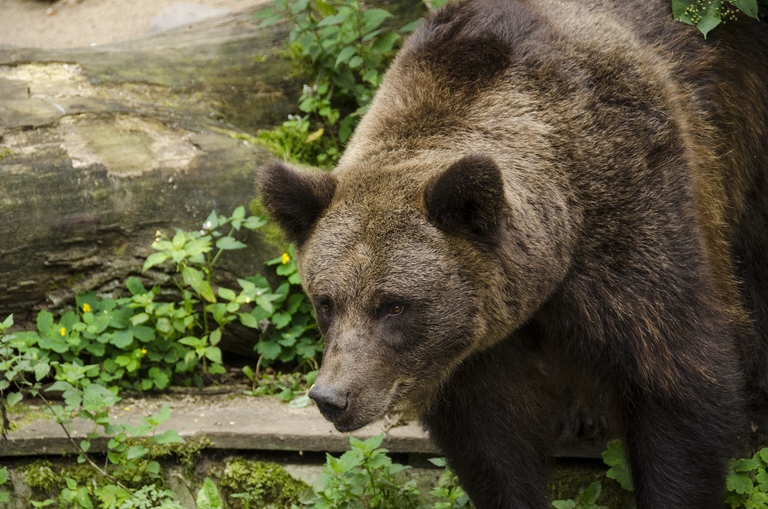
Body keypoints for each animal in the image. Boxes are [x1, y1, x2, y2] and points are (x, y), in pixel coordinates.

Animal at [257, 0, 768, 507]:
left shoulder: (636, 216)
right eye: (326, 302)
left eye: (394, 306)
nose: (332, 397)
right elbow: (491, 438)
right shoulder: (475, 341)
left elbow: (675, 381)